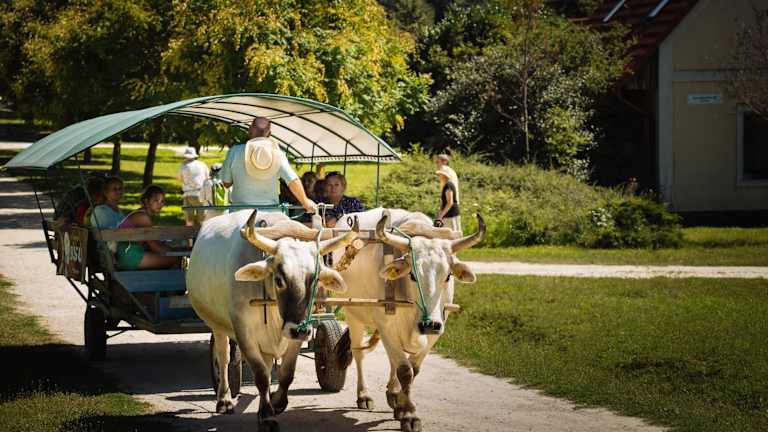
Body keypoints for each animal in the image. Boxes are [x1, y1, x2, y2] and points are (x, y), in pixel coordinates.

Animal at [186, 209, 356, 432]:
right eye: (279, 280)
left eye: (315, 279)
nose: (299, 330)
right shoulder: (245, 334)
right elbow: (260, 375)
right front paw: (267, 416)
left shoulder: (295, 336)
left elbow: (285, 373)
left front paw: (276, 403)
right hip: (217, 326)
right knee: (223, 359)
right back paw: (224, 400)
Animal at [329, 208, 485, 432]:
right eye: (412, 275)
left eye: (447, 276)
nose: (429, 324)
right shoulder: (386, 328)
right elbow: (404, 370)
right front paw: (410, 414)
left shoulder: (437, 331)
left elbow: (414, 368)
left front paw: (402, 406)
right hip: (353, 314)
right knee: (359, 354)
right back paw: (364, 395)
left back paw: (393, 395)